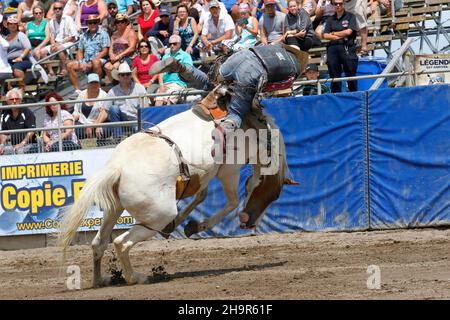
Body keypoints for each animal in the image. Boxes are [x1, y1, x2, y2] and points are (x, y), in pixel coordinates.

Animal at [58, 92, 290, 284]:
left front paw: (184, 224)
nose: (249, 223)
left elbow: (201, 195)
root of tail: (118, 167)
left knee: (99, 243)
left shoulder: (203, 176)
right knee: (121, 243)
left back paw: (100, 280)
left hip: (113, 208)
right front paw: (197, 225)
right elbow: (232, 202)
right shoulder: (228, 171)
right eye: (271, 193)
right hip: (158, 215)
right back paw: (136, 278)